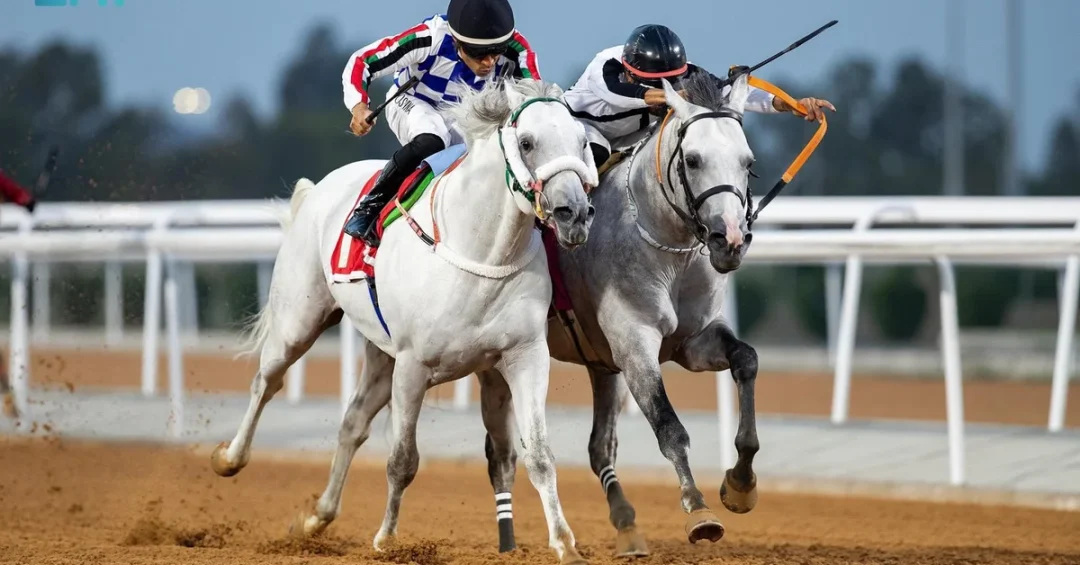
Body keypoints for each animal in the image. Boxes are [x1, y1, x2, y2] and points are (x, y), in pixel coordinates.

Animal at [208, 77, 600, 565]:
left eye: (582, 141)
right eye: (527, 142)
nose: (574, 213)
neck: (479, 251)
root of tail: (316, 191)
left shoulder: (524, 357)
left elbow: (540, 456)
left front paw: (564, 542)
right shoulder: (414, 365)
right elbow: (403, 460)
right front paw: (387, 539)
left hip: (382, 354)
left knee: (353, 421)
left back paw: (318, 516)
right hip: (299, 320)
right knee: (266, 381)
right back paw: (230, 458)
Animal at [482, 71, 763, 557]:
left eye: (747, 162)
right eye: (693, 160)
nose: (730, 240)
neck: (668, 251)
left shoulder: (694, 341)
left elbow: (746, 359)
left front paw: (741, 483)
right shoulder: (634, 343)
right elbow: (669, 427)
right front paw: (699, 510)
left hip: (600, 364)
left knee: (600, 446)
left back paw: (627, 525)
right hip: (497, 361)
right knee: (501, 454)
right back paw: (507, 541)